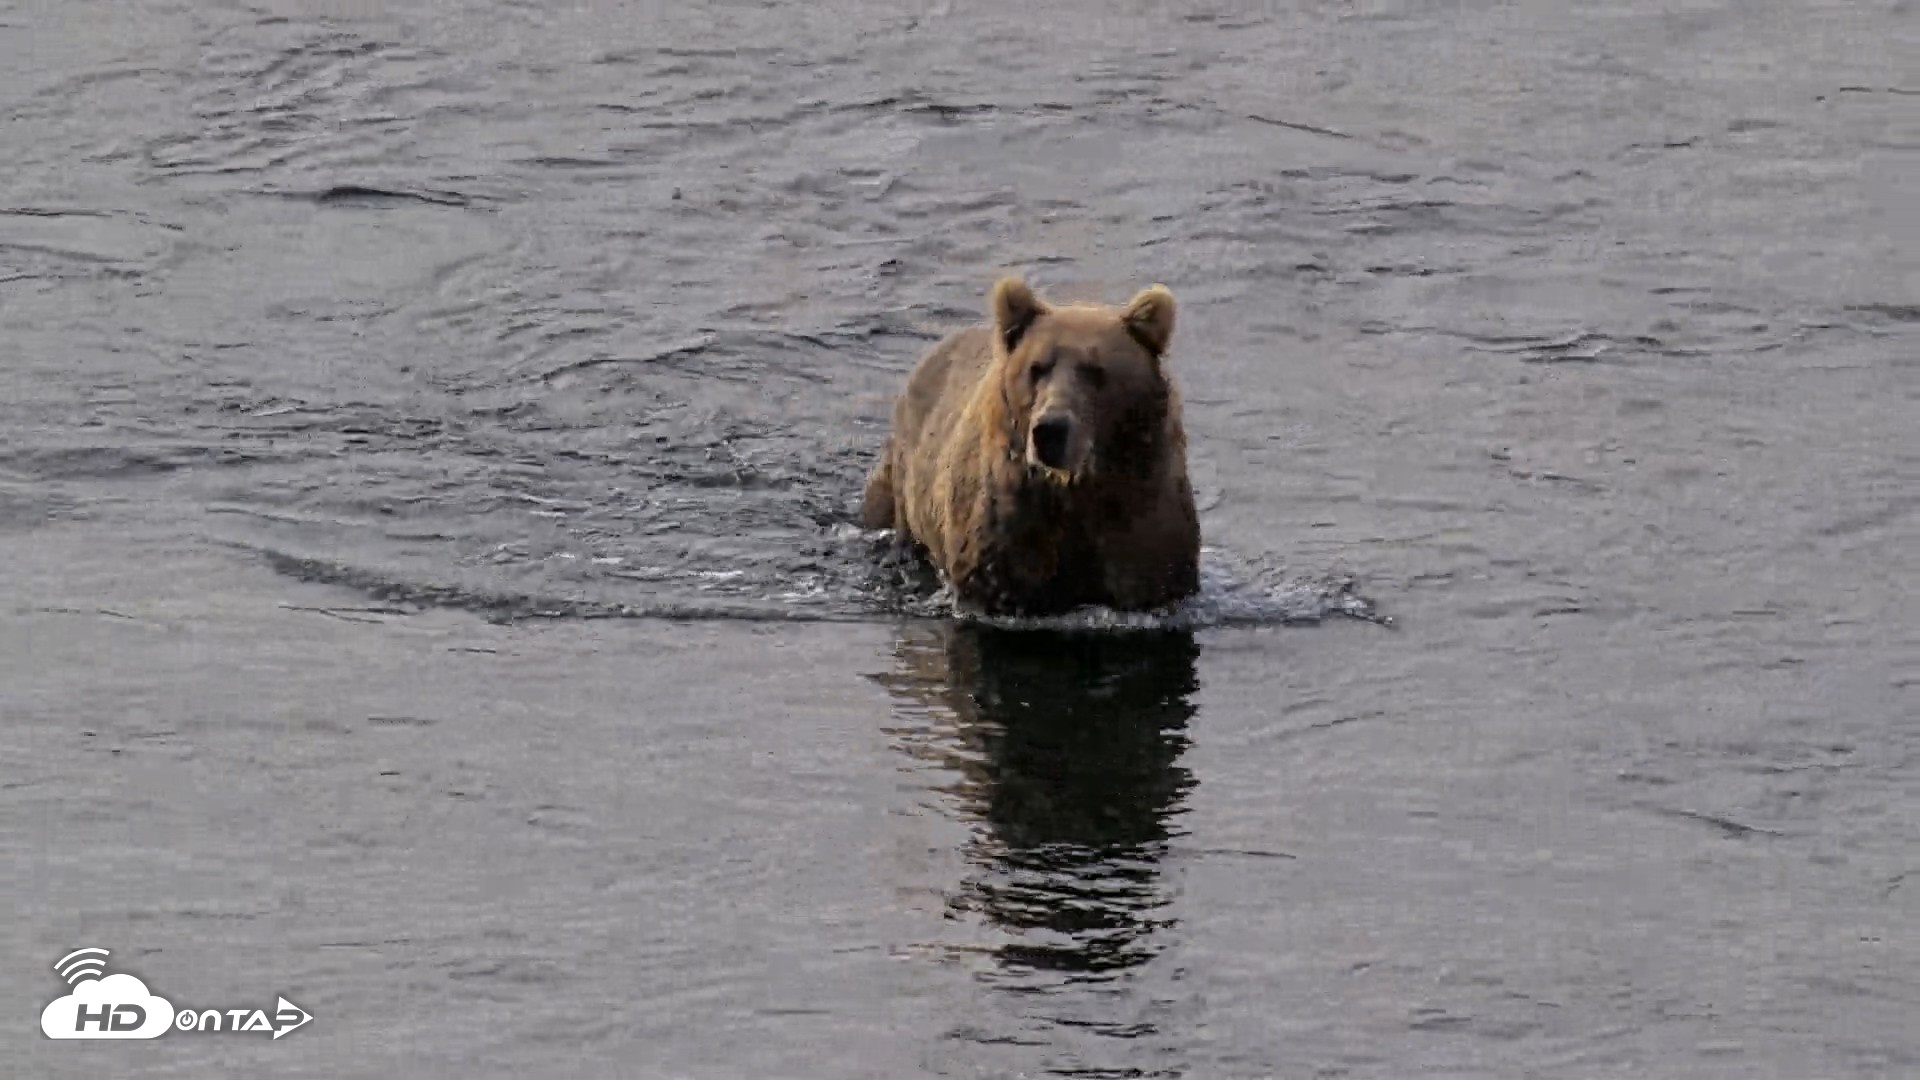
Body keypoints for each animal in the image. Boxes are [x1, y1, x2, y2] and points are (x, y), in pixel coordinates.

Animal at [861, 276, 1201, 616]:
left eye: (1095, 370)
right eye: (1037, 368)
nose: (1049, 430)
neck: (1075, 491)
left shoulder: (1142, 524)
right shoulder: (1006, 528)